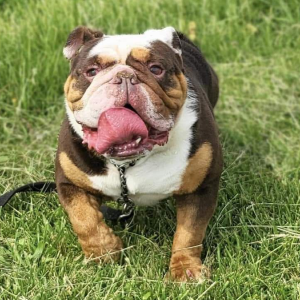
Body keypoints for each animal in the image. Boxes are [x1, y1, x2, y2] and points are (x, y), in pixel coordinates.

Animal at [54, 27, 223, 282]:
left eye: (156, 69)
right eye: (92, 71)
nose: (125, 76)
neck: (128, 163)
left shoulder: (201, 187)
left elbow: (190, 232)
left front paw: (185, 271)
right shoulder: (69, 182)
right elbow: (84, 219)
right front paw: (104, 252)